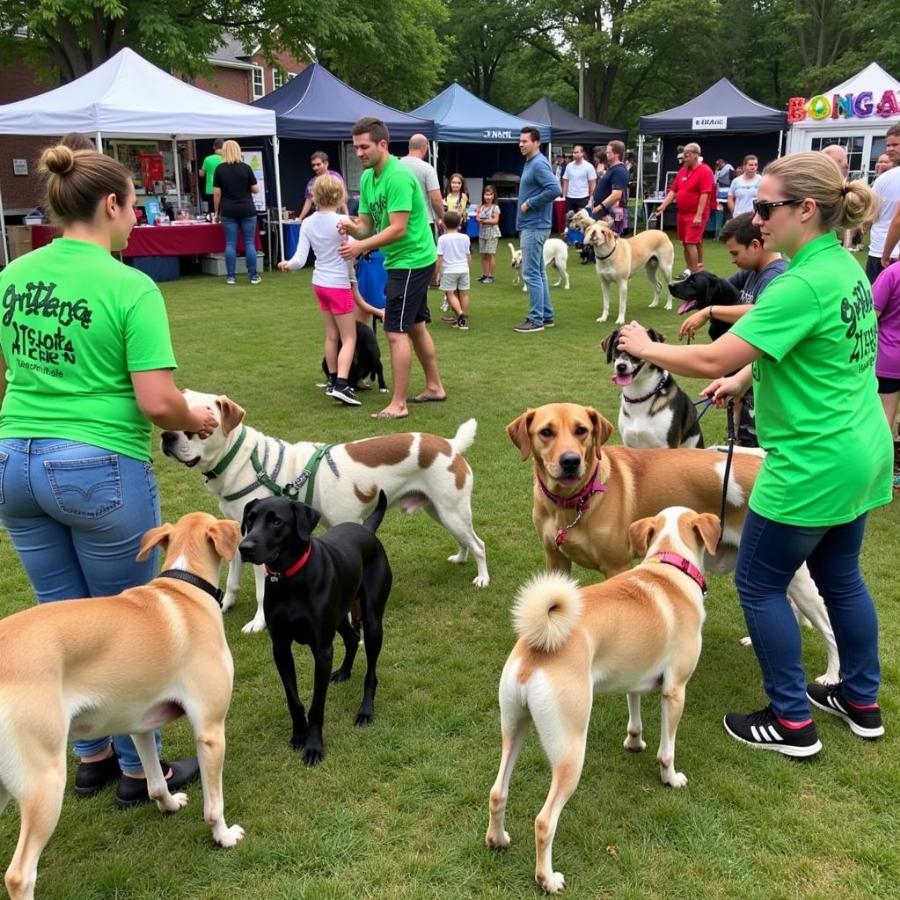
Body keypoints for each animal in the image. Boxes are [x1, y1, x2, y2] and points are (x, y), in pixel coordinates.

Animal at [0, 512, 244, 900]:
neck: (184, 588)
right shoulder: (210, 732)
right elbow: (213, 804)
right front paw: (223, 836)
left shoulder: (140, 724)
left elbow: (155, 782)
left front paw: (169, 805)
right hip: (44, 783)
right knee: (19, 875)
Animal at [159, 388, 488, 632]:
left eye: (196, 428)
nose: (166, 437)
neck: (247, 460)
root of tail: (449, 444)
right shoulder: (242, 536)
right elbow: (232, 580)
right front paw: (224, 605)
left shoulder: (263, 549)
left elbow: (261, 591)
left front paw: (258, 622)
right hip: (440, 511)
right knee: (465, 540)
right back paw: (460, 558)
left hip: (452, 512)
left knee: (480, 544)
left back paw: (482, 578)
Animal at [237, 488, 392, 764]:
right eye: (250, 520)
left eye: (276, 522)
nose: (244, 548)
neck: (290, 580)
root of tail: (366, 529)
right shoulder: (280, 647)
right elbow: (293, 699)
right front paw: (299, 734)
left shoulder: (321, 650)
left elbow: (317, 705)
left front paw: (313, 746)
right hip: (340, 616)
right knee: (352, 638)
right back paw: (343, 672)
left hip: (373, 621)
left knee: (371, 672)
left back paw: (365, 711)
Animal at [488, 506, 720, 892]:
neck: (668, 564)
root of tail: (537, 648)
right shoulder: (675, 691)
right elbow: (667, 750)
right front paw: (670, 778)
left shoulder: (635, 677)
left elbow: (634, 713)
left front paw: (634, 742)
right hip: (570, 751)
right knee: (544, 821)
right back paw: (547, 878)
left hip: (513, 728)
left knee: (497, 792)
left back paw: (498, 840)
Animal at [506, 400, 844, 684]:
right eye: (546, 432)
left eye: (581, 430)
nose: (571, 461)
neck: (572, 503)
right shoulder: (556, 561)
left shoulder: (617, 567)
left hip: (795, 575)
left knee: (829, 625)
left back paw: (832, 675)